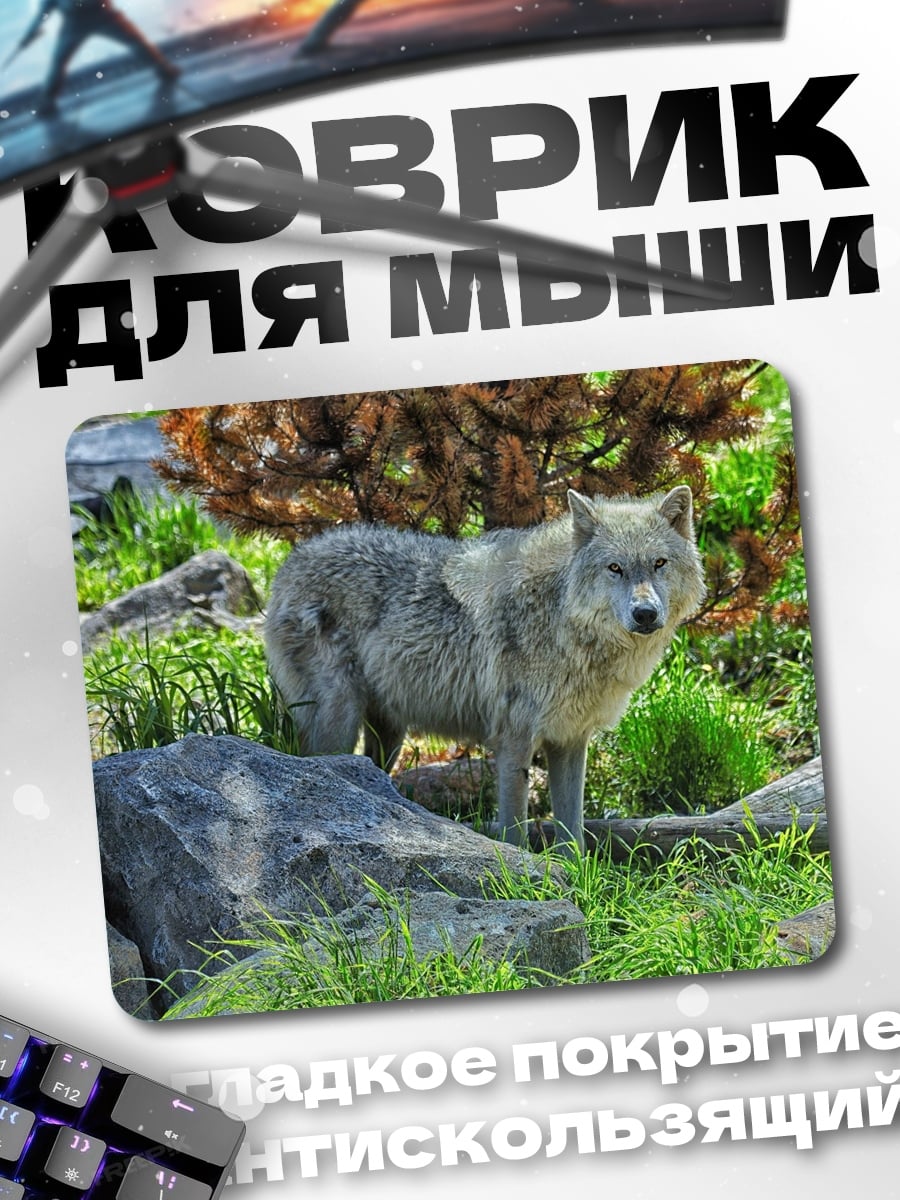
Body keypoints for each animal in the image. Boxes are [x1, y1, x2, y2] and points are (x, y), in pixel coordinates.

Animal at [264, 486, 706, 851]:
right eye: (615, 568)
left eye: (659, 563)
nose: (645, 614)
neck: (563, 621)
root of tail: (288, 565)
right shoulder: (514, 739)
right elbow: (514, 828)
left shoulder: (569, 740)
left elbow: (574, 834)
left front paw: (577, 880)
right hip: (340, 722)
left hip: (388, 736)